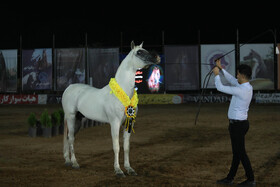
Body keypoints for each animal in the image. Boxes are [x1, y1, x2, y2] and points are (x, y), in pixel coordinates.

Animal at [62, 41, 161, 177]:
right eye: (139, 52)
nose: (157, 57)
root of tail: (69, 88)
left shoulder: (129, 123)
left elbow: (126, 147)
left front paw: (129, 169)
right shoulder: (114, 123)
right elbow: (116, 147)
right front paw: (118, 170)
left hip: (79, 120)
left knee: (68, 138)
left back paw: (67, 160)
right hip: (71, 117)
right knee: (71, 138)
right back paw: (75, 163)